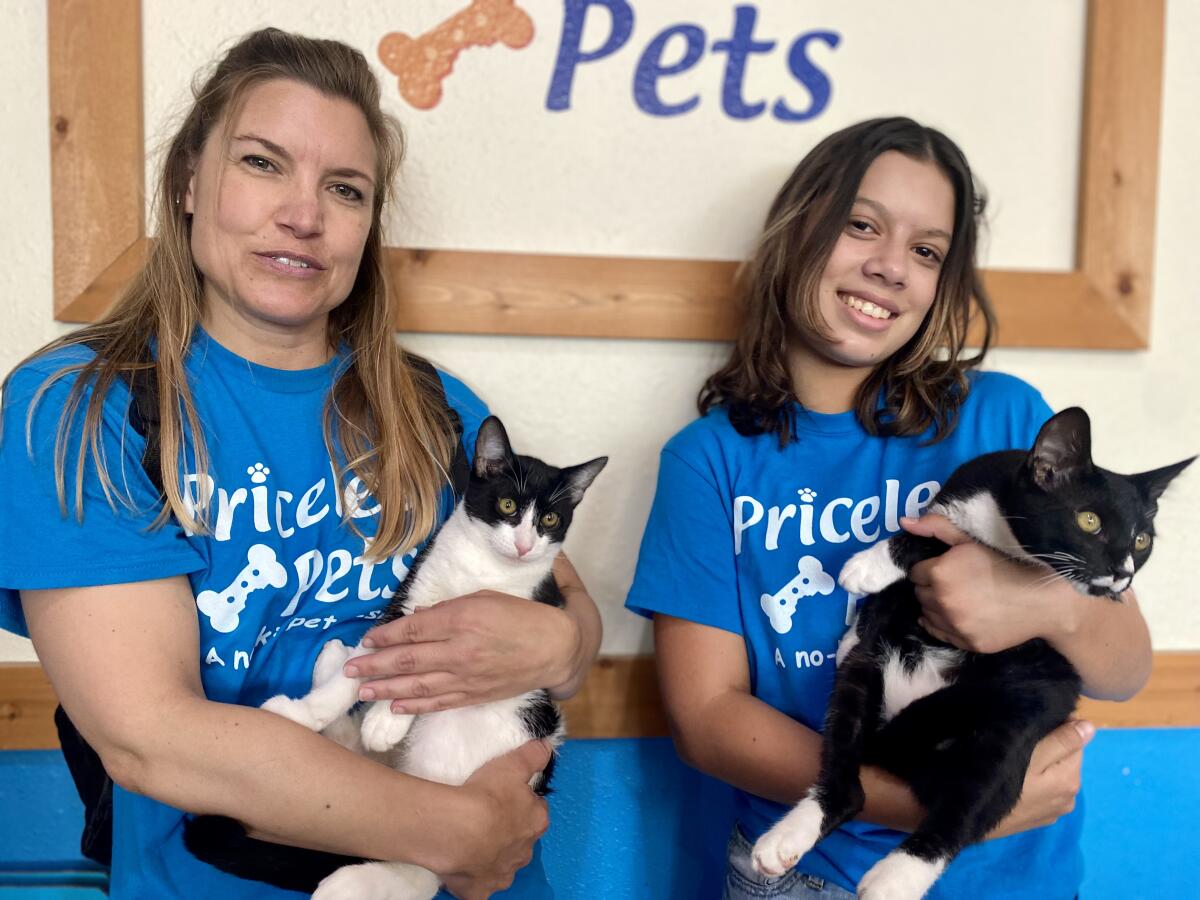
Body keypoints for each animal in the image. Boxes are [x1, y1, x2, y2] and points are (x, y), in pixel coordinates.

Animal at [184, 420, 609, 900]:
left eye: (550, 520)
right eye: (507, 505)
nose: (523, 545)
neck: (481, 570)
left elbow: (420, 673)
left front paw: (387, 720)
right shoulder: (406, 607)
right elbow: (356, 676)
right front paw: (306, 712)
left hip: (459, 748)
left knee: (427, 857)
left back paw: (350, 881)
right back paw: (333, 665)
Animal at [748, 410, 1190, 900]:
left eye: (1142, 541)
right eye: (1089, 520)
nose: (1122, 574)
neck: (1004, 538)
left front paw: (868, 567)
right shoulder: (950, 502)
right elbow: (934, 538)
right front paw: (872, 564)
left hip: (1014, 718)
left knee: (968, 806)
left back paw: (893, 879)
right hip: (862, 674)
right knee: (849, 780)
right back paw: (785, 839)